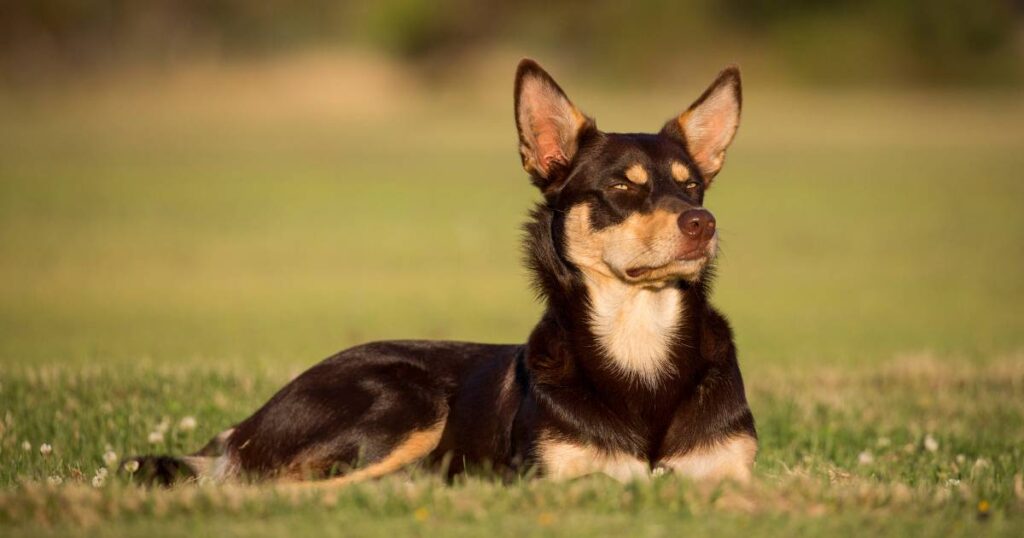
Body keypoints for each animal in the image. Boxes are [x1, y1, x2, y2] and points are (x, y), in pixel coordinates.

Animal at [125, 58, 753, 485]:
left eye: (692, 186)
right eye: (623, 187)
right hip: (407, 400)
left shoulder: (727, 471)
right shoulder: (550, 477)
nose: (703, 223)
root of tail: (244, 429)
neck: (639, 341)